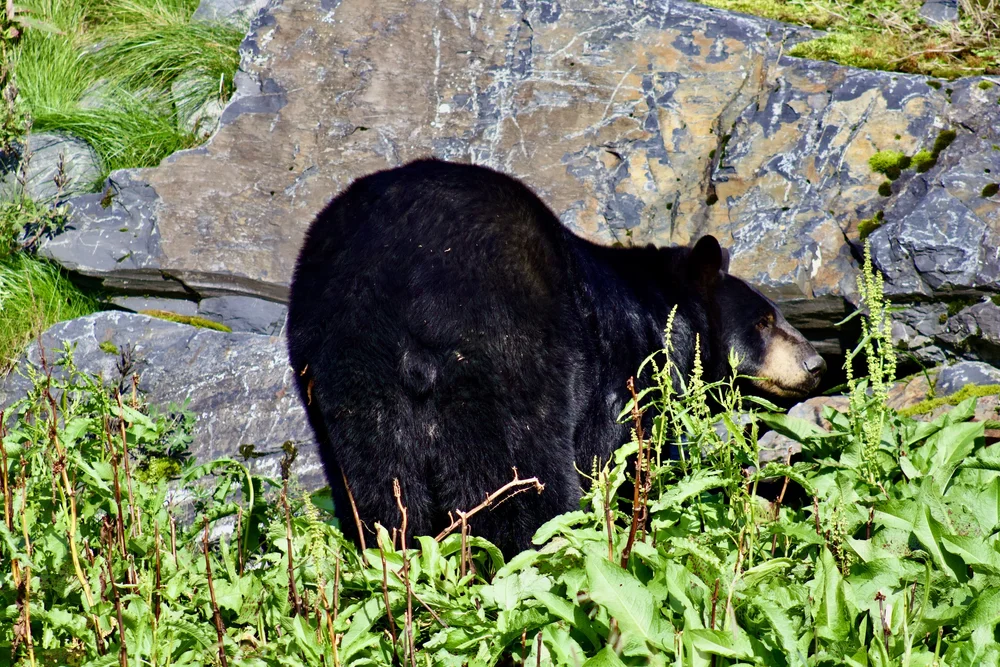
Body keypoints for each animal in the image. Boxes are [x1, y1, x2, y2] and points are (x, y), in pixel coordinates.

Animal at [286, 159, 825, 557]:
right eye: (764, 321)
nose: (816, 364)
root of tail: (402, 281)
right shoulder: (624, 379)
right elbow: (629, 465)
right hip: (506, 353)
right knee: (524, 483)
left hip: (345, 373)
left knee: (380, 490)